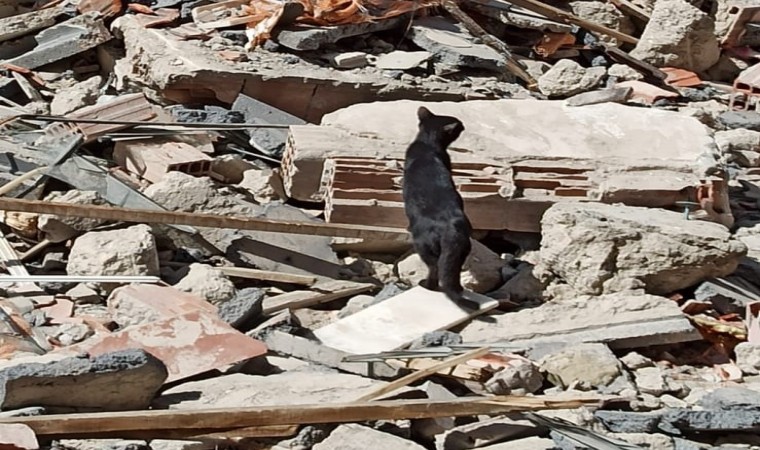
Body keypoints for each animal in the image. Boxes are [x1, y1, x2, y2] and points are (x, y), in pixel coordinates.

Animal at [400, 105, 472, 302]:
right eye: (459, 124)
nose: (464, 124)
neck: (428, 144)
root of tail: (451, 229)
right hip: (462, 250)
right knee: (451, 272)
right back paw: (458, 289)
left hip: (424, 246)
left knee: (434, 268)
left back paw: (426, 286)